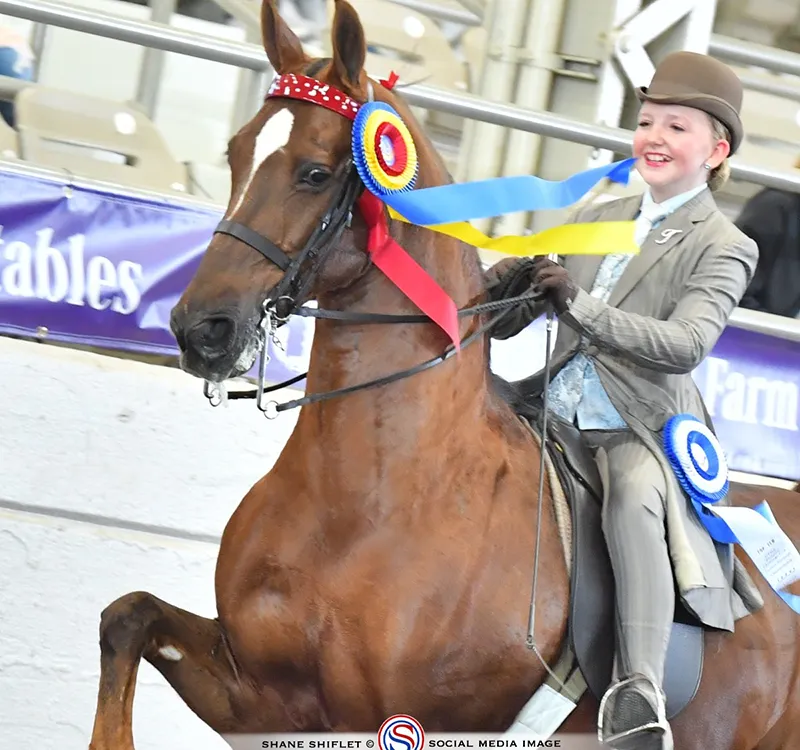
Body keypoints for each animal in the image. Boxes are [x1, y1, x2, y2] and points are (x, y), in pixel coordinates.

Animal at [88, 2, 800, 748]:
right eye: (236, 153)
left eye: (314, 173)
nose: (201, 329)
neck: (372, 499)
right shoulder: (257, 695)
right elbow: (128, 615)